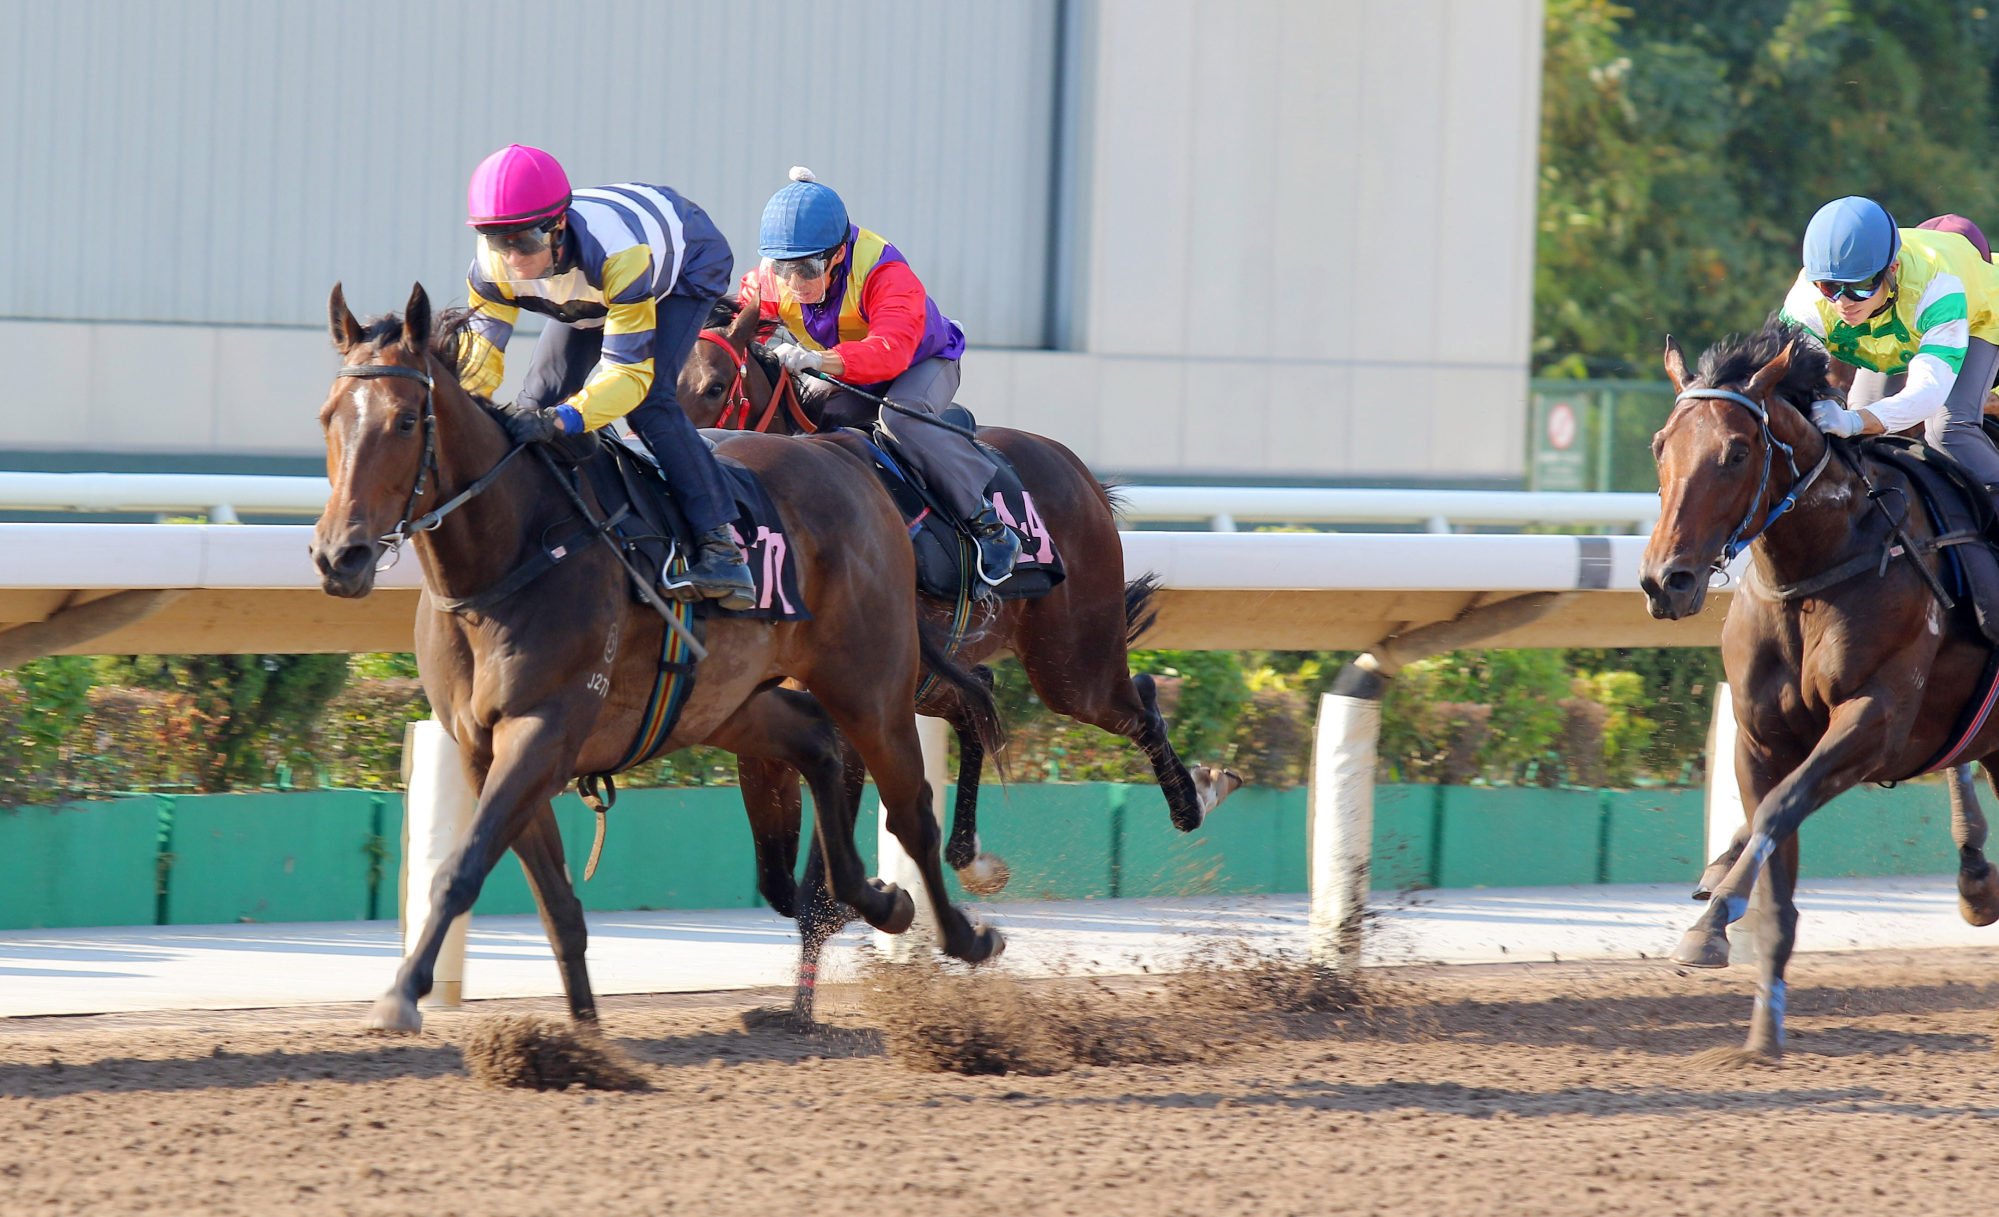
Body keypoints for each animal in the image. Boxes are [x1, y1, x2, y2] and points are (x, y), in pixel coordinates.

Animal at [309, 281, 1007, 1023]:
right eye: (328, 417)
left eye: (407, 420)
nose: (339, 555)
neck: (511, 553)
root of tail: (848, 458)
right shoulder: (481, 747)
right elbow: (556, 904)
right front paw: (582, 1035)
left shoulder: (542, 730)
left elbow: (462, 869)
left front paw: (401, 994)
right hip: (728, 701)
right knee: (817, 744)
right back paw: (875, 898)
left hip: (870, 682)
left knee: (911, 810)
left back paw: (964, 931)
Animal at [675, 295, 1231, 1015]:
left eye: (716, 386)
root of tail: (1076, 471)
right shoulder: (770, 718)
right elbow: (778, 881)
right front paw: (803, 1000)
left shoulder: (851, 714)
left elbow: (814, 882)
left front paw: (846, 944)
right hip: (946, 672)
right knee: (978, 702)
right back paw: (973, 857)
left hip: (1070, 665)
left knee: (1137, 704)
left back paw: (1196, 796)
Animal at [1639, 317, 1999, 1055]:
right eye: (1661, 445)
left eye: (1736, 451)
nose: (1666, 581)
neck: (1817, 565)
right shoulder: (1760, 737)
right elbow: (1769, 844)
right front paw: (1760, 1031)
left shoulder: (1874, 721)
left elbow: (1779, 809)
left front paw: (1712, 920)